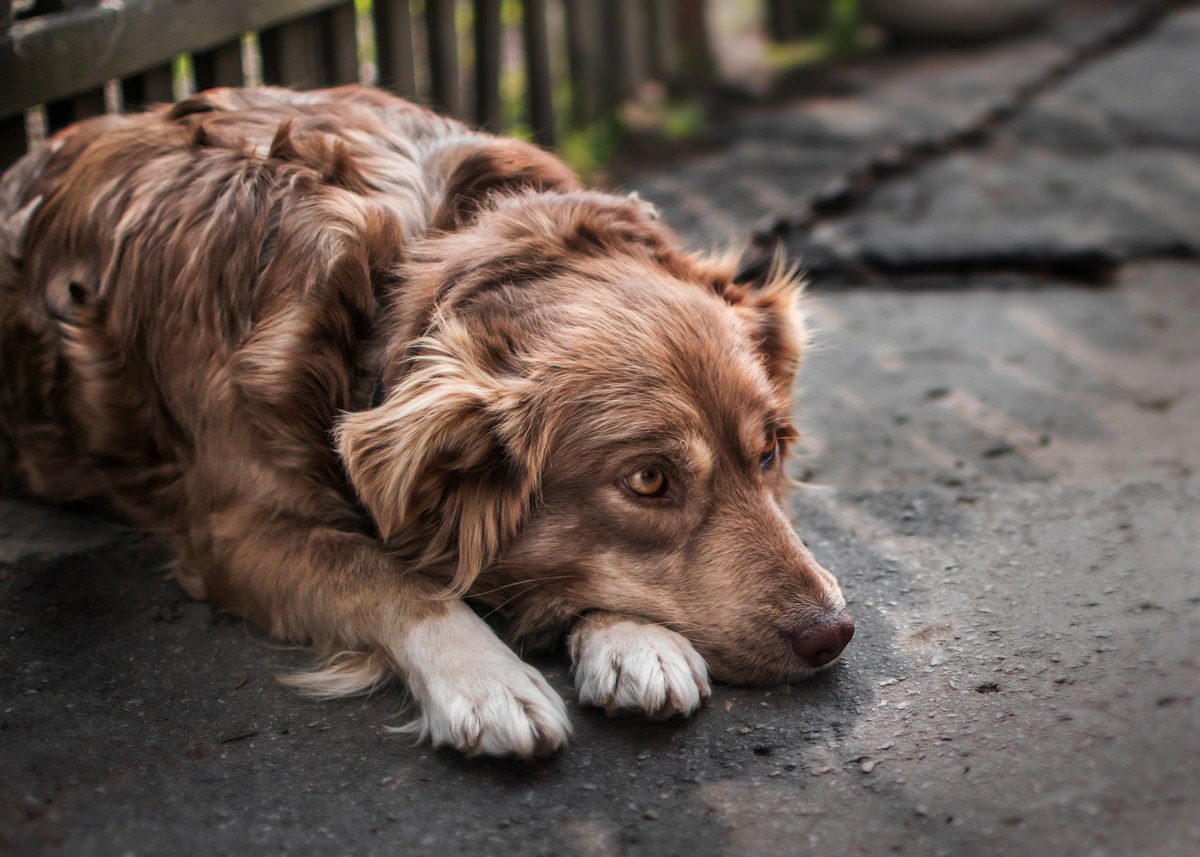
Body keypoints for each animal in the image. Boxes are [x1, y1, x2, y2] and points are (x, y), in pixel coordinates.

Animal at [0, 87, 854, 753]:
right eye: (648, 480)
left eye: (769, 453)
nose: (833, 634)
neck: (409, 265)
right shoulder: (232, 532)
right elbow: (384, 569)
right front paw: (487, 677)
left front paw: (633, 636)